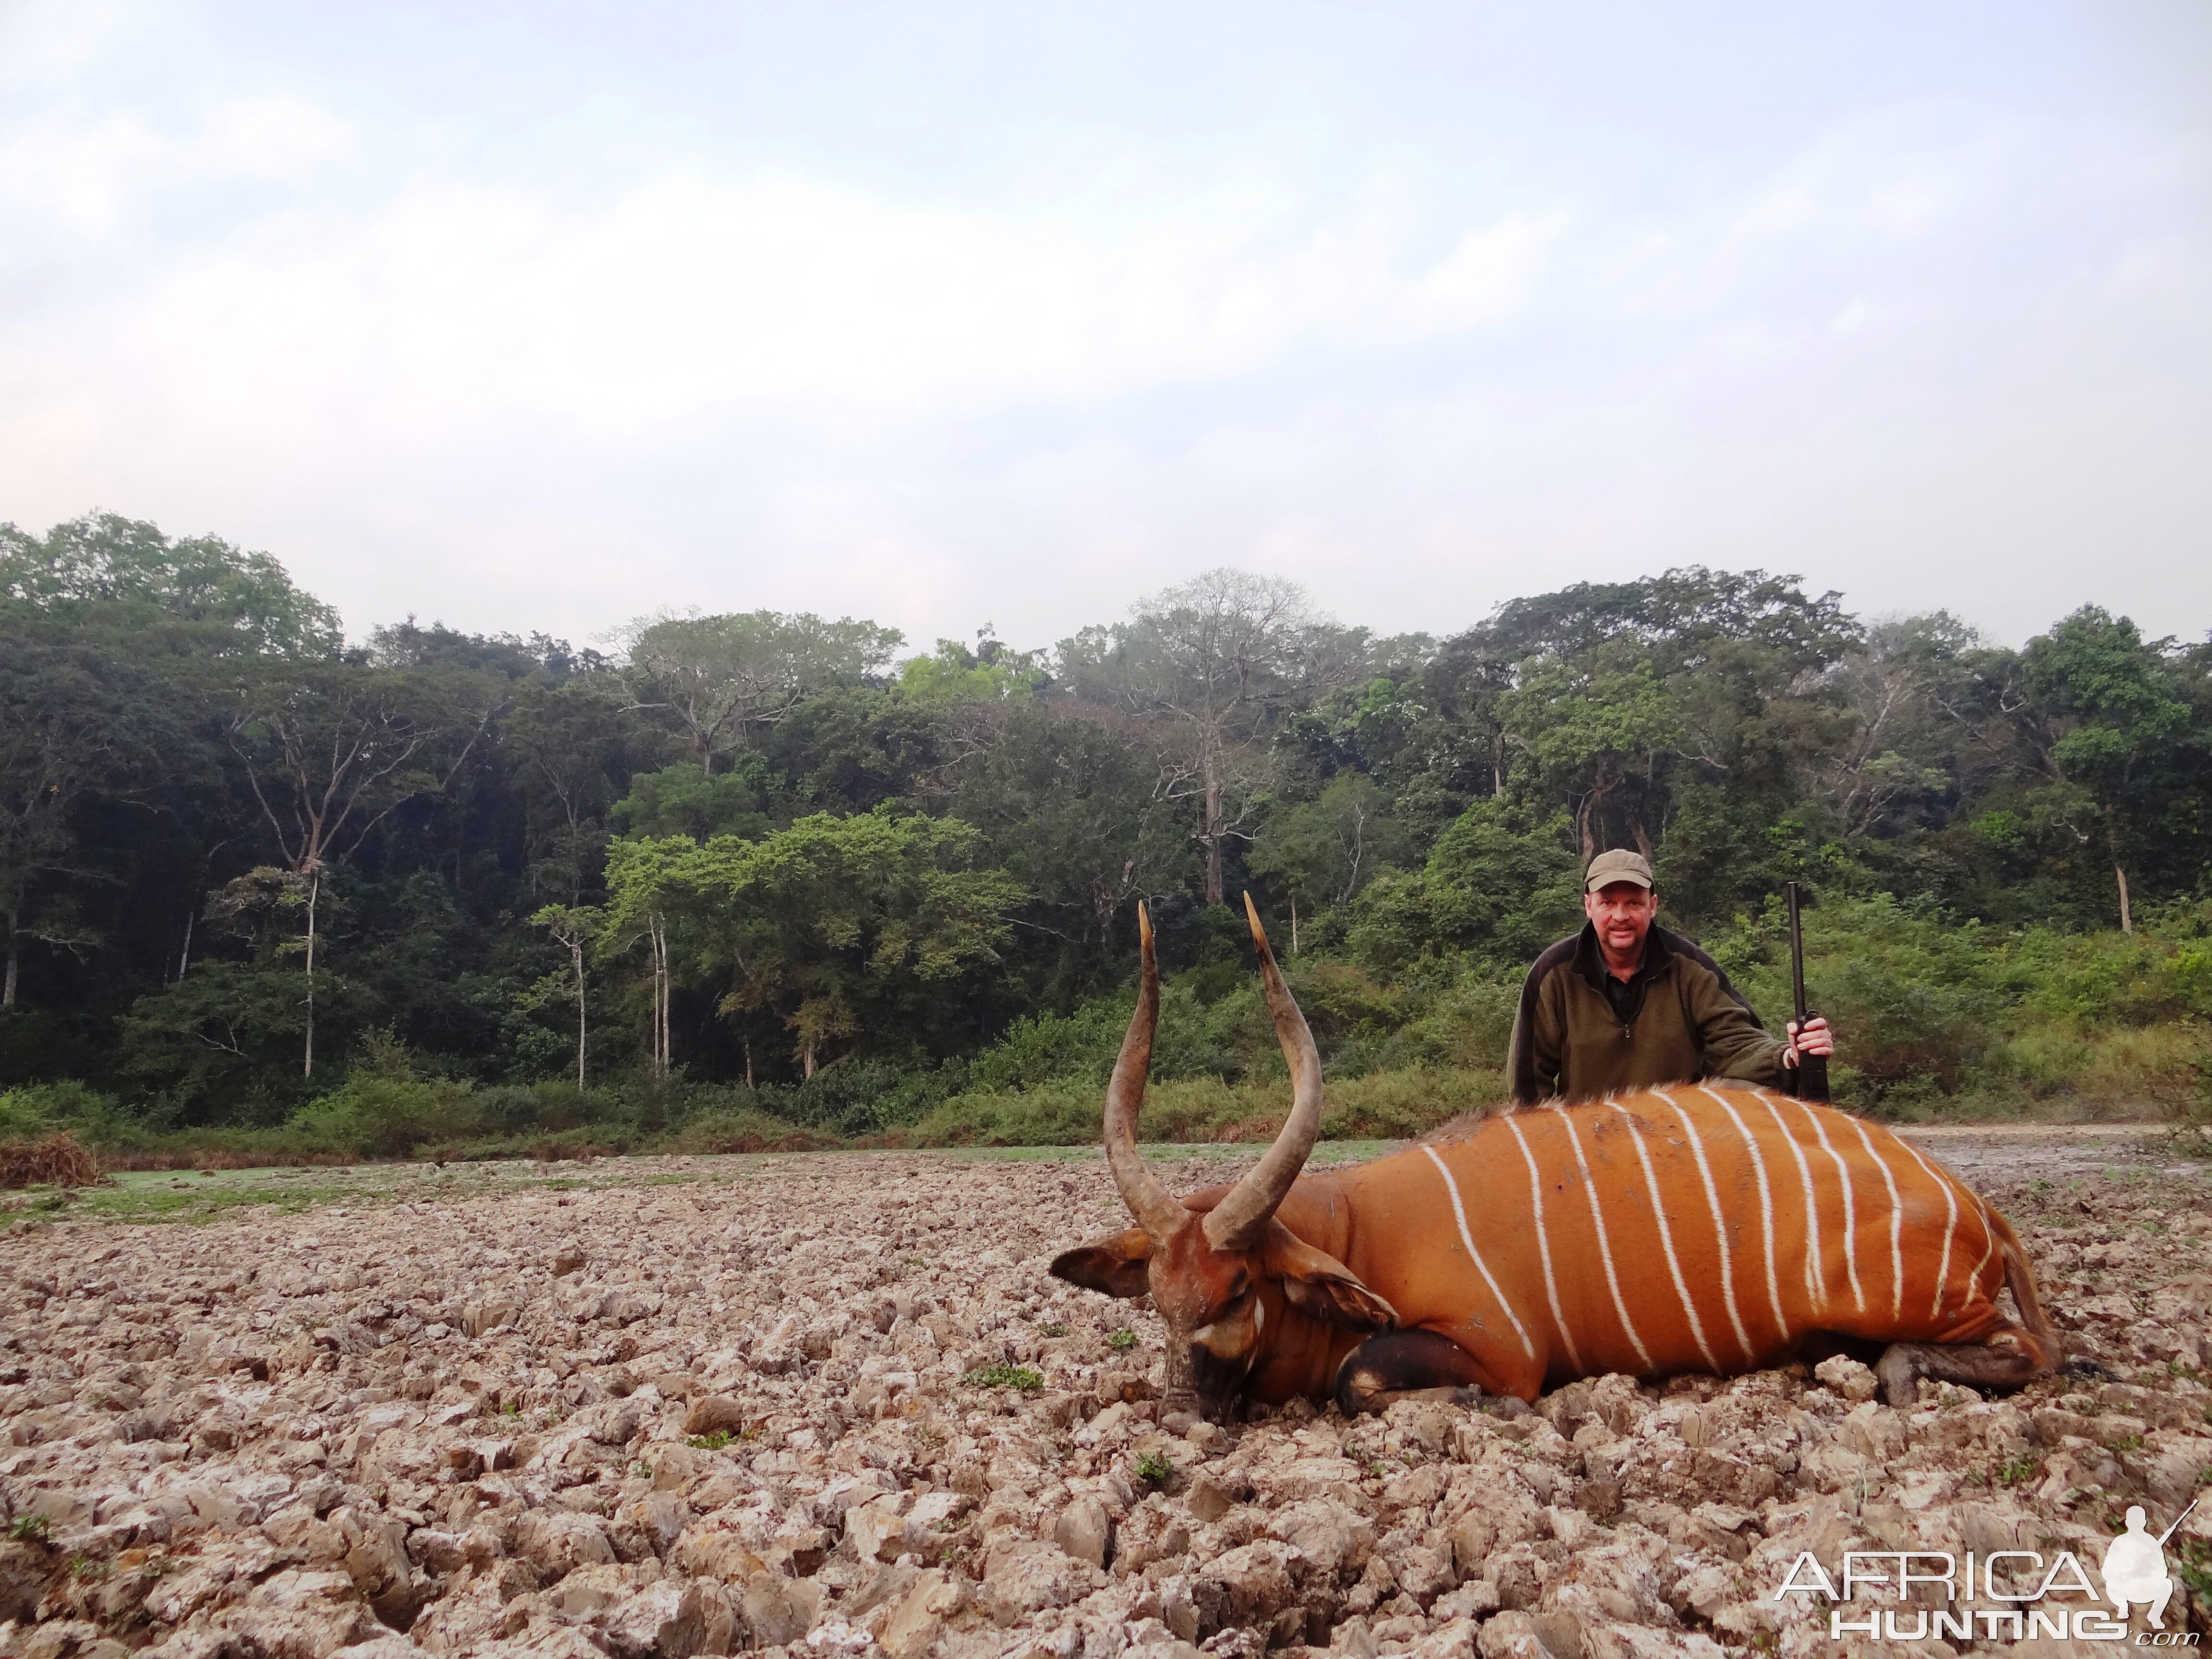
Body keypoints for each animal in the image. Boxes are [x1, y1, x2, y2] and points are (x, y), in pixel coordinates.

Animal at [1048, 902, 2053, 1424]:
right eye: (1158, 1298)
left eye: (1234, 1292)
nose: (1180, 1416)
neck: (1358, 1226)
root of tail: (1975, 1206)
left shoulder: (1499, 1347)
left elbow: (1359, 1376)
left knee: (2033, 1352)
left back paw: (1900, 1371)